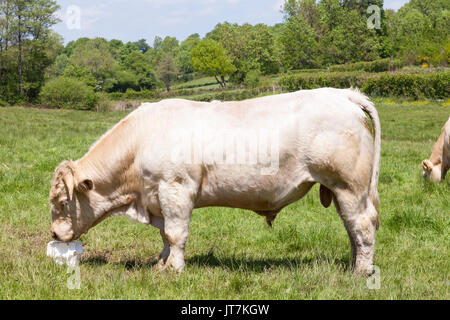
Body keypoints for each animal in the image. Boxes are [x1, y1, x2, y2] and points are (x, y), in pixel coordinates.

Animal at [50, 87, 380, 276]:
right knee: (351, 228)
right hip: (340, 190)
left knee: (362, 226)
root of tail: (342, 94)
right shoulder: (158, 198)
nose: (53, 232)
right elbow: (165, 236)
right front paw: (161, 264)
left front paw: (174, 269)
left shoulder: (175, 189)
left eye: (64, 202)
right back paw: (352, 265)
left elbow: (175, 234)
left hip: (350, 186)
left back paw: (361, 273)